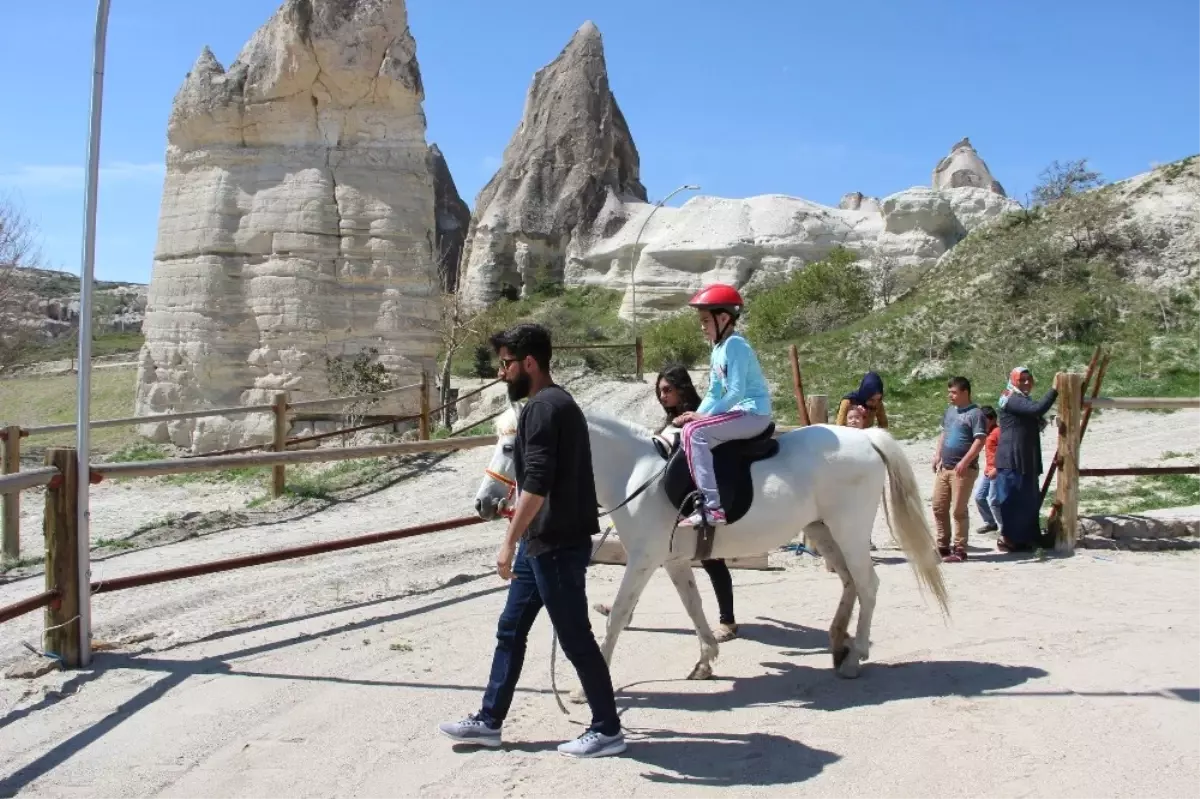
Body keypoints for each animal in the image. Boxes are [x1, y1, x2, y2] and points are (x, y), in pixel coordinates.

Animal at [472, 407, 950, 681]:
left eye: (512, 447)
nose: (484, 503)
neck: (635, 472)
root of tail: (865, 436)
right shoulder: (674, 561)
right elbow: (694, 606)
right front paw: (705, 659)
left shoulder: (643, 560)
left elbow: (620, 614)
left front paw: (588, 682)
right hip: (822, 531)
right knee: (850, 583)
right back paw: (838, 644)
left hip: (848, 530)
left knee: (867, 585)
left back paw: (854, 657)